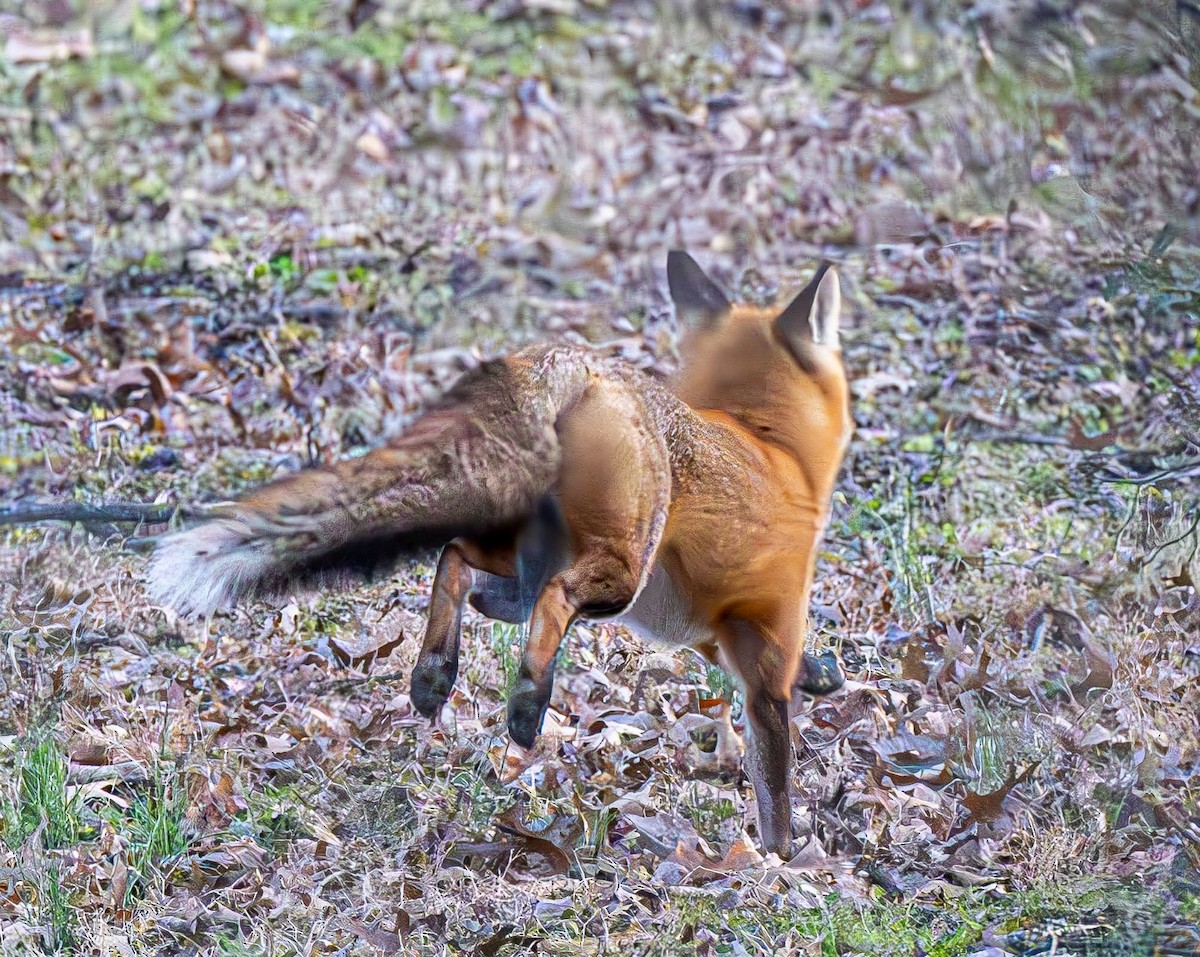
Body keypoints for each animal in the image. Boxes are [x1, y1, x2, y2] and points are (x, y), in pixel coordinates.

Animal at [146, 251, 852, 857]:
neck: (771, 446)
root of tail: (583, 366)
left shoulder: (712, 632)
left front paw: (823, 678)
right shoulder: (766, 642)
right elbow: (774, 773)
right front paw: (784, 859)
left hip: (520, 576)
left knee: (457, 559)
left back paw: (435, 674)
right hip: (620, 570)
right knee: (553, 598)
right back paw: (527, 705)